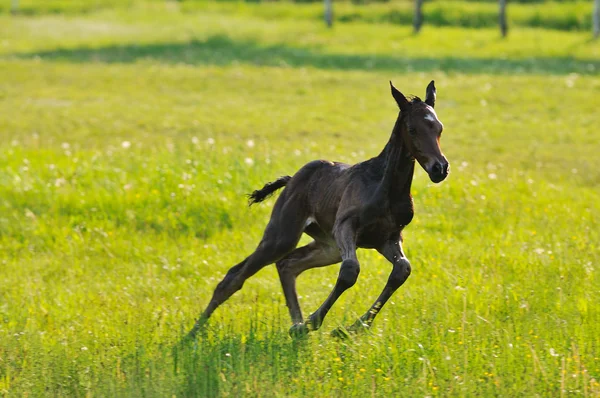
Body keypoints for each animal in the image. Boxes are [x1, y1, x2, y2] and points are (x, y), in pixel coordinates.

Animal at [190, 81, 448, 338]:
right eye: (412, 129)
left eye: (439, 128)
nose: (440, 168)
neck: (385, 187)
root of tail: (292, 179)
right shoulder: (345, 226)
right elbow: (350, 271)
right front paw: (318, 321)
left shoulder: (388, 237)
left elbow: (402, 270)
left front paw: (353, 327)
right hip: (283, 235)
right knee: (236, 275)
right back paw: (193, 333)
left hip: (328, 246)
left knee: (288, 264)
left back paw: (297, 326)